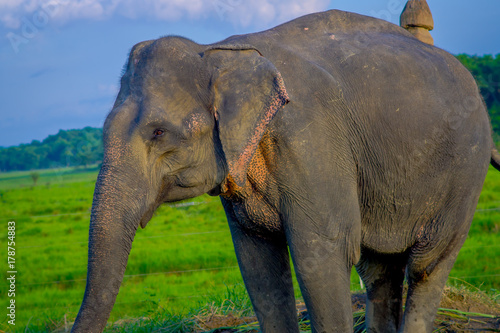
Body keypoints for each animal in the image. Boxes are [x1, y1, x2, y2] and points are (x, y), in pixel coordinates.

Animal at [72, 9, 498, 330]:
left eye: (158, 132)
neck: (217, 51)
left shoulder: (312, 141)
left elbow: (323, 254)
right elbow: (258, 264)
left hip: (465, 173)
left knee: (427, 265)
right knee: (379, 267)